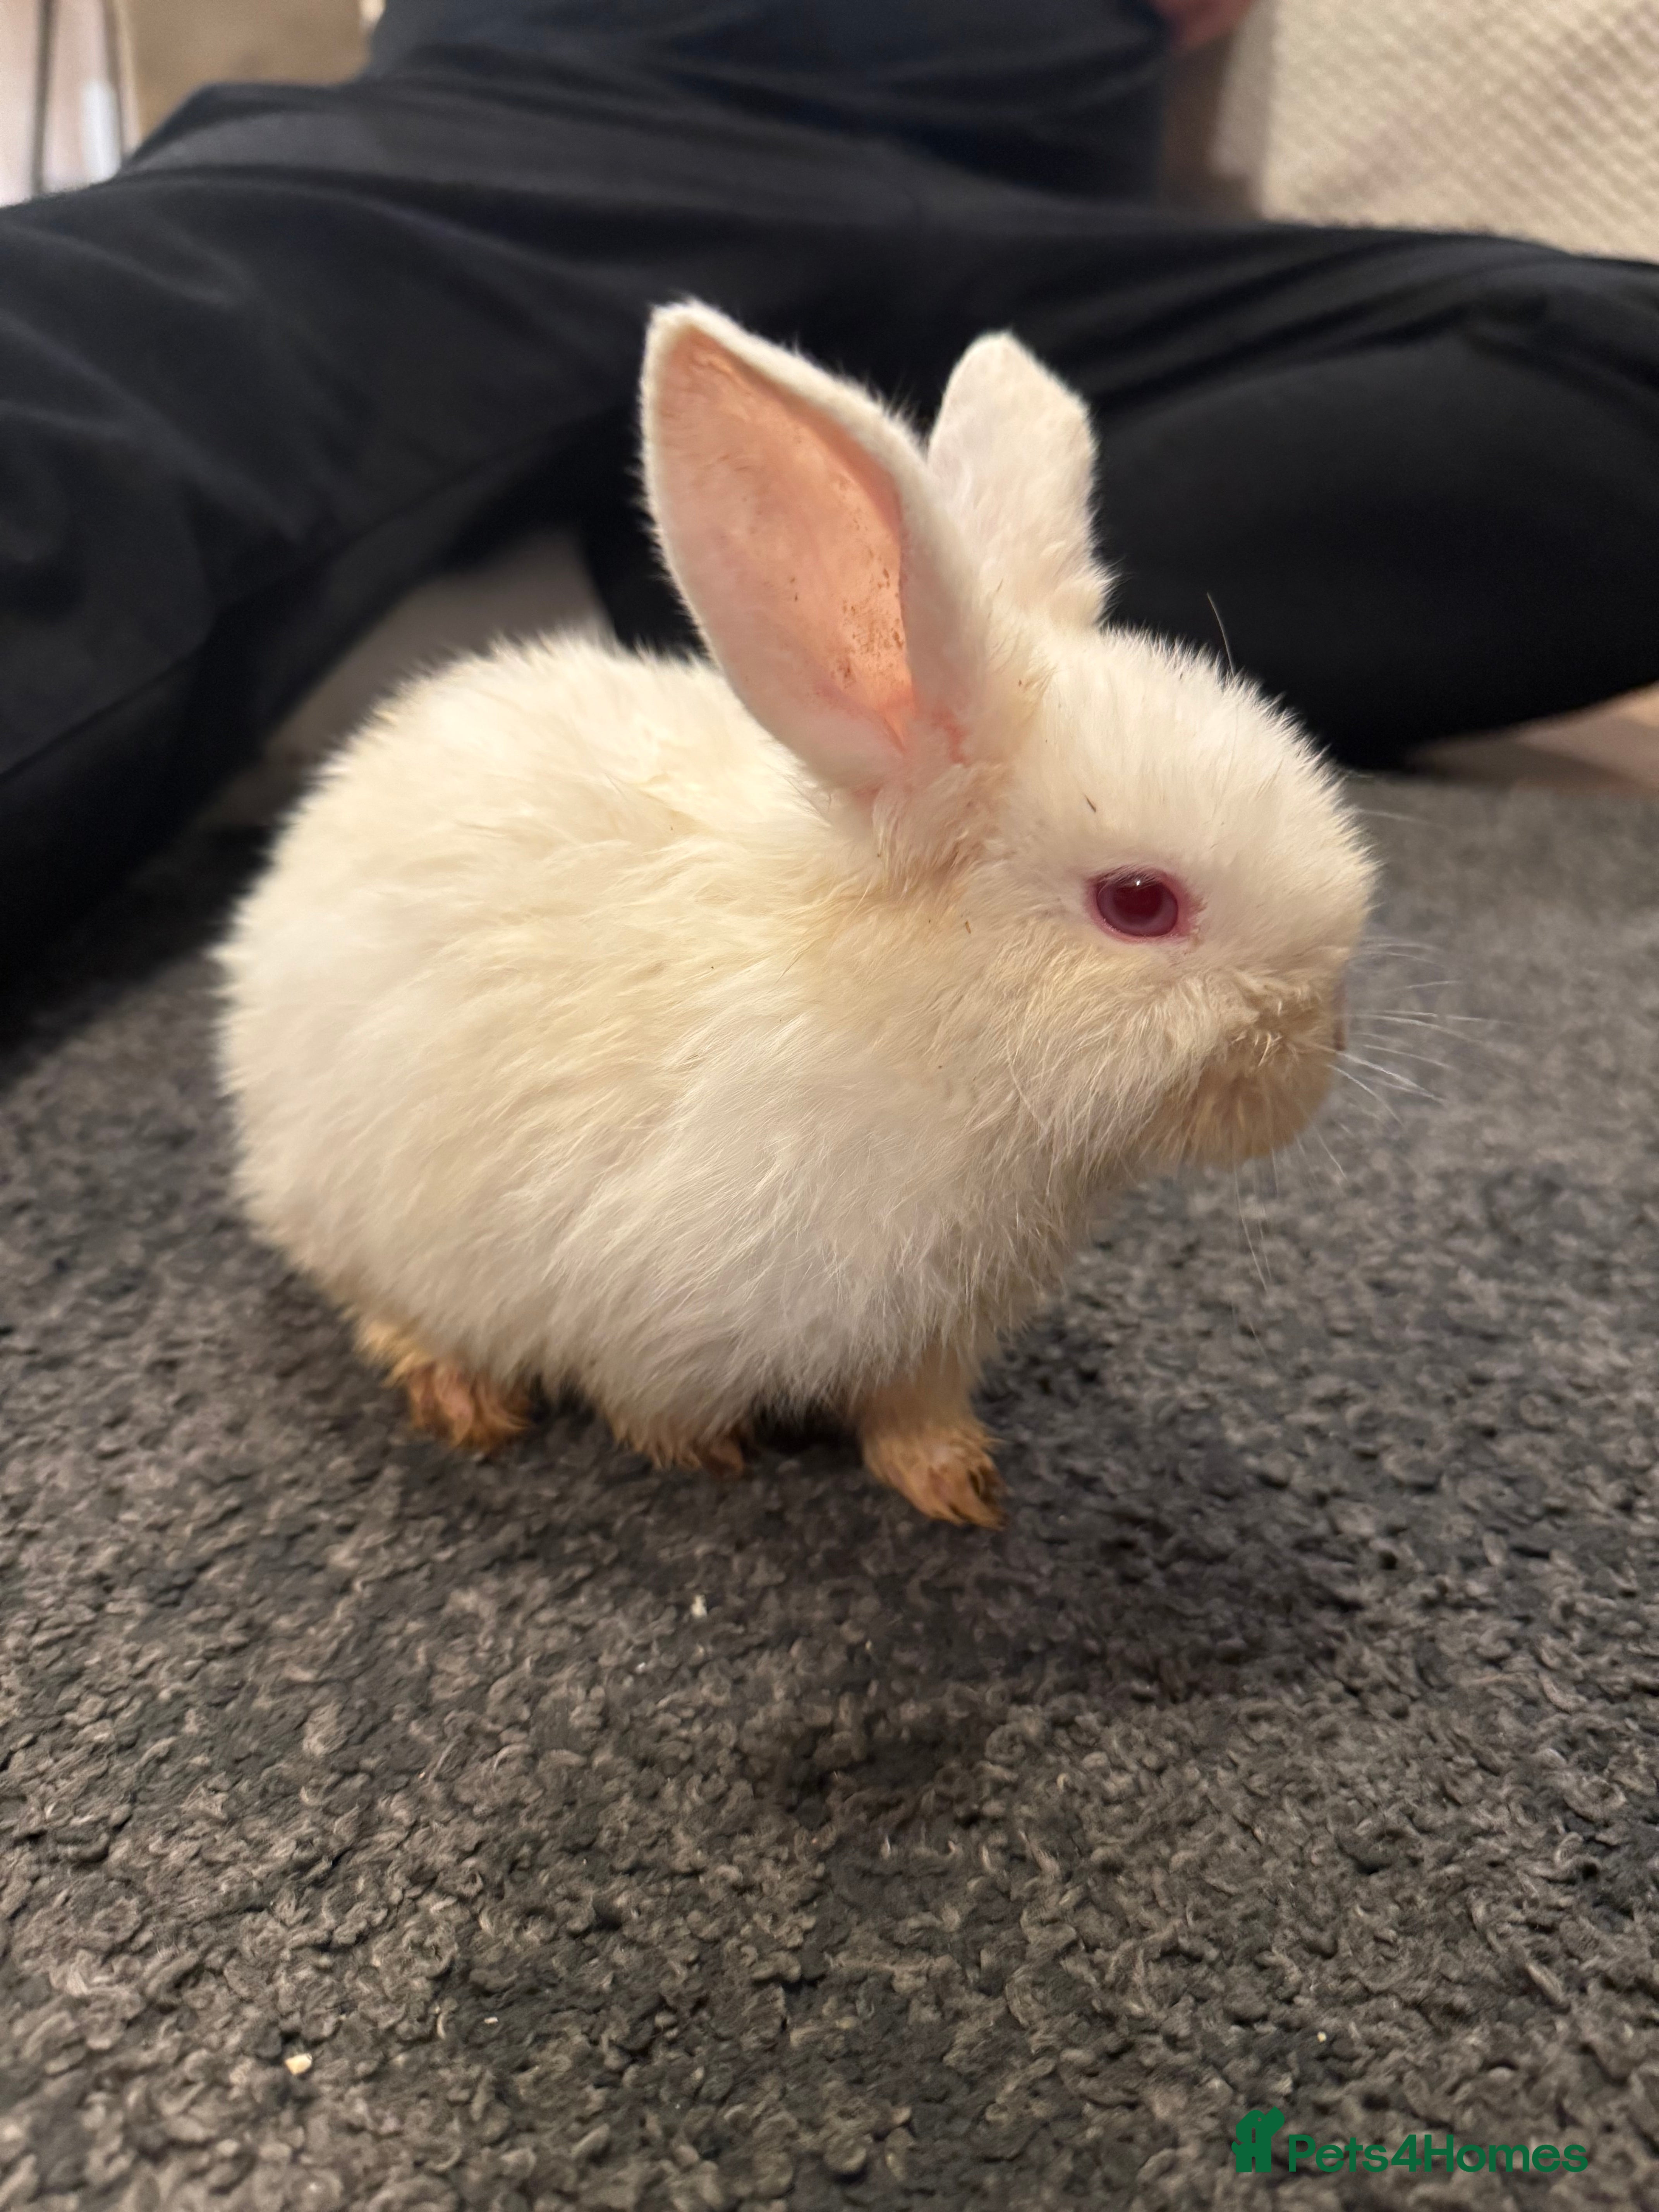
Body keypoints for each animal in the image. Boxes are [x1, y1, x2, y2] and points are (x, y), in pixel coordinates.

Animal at [219, 302, 1375, 1530]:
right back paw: (456, 1392)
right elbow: (652, 1401)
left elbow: (908, 1414)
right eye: (1139, 903)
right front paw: (706, 1456)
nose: (1318, 1046)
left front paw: (957, 1484)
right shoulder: (656, 1301)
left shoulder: (927, 1341)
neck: (931, 1046)